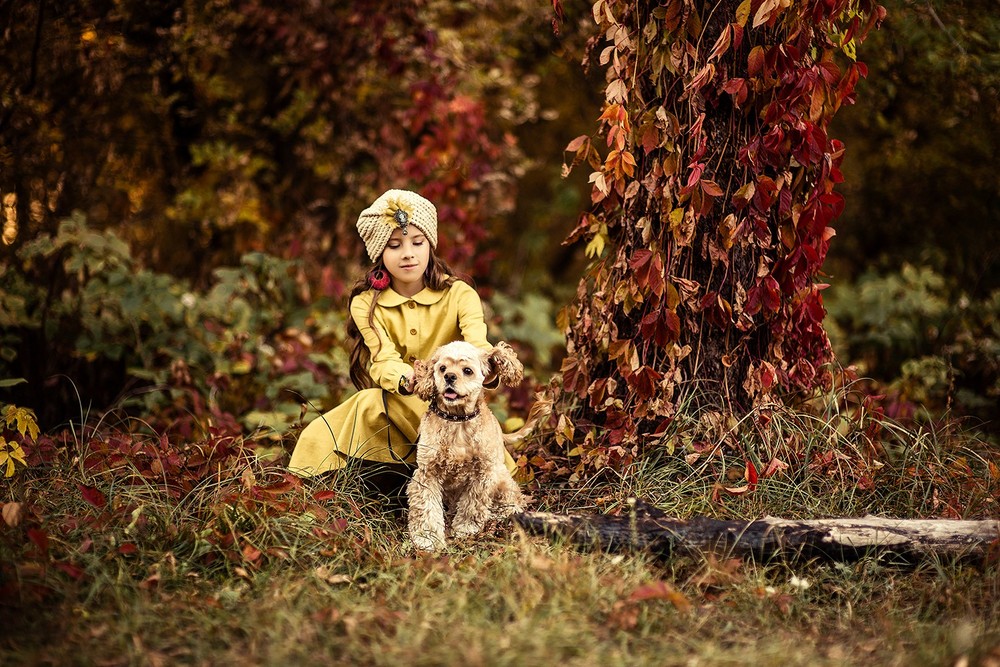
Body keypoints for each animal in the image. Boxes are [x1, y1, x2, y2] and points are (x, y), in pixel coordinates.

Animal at [406, 340, 552, 552]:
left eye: (467, 370)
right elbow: (426, 508)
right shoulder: (427, 473)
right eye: (442, 368)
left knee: (514, 500)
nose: (449, 377)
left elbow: (472, 505)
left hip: (502, 479)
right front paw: (428, 539)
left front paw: (465, 529)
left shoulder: (482, 473)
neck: (457, 420)